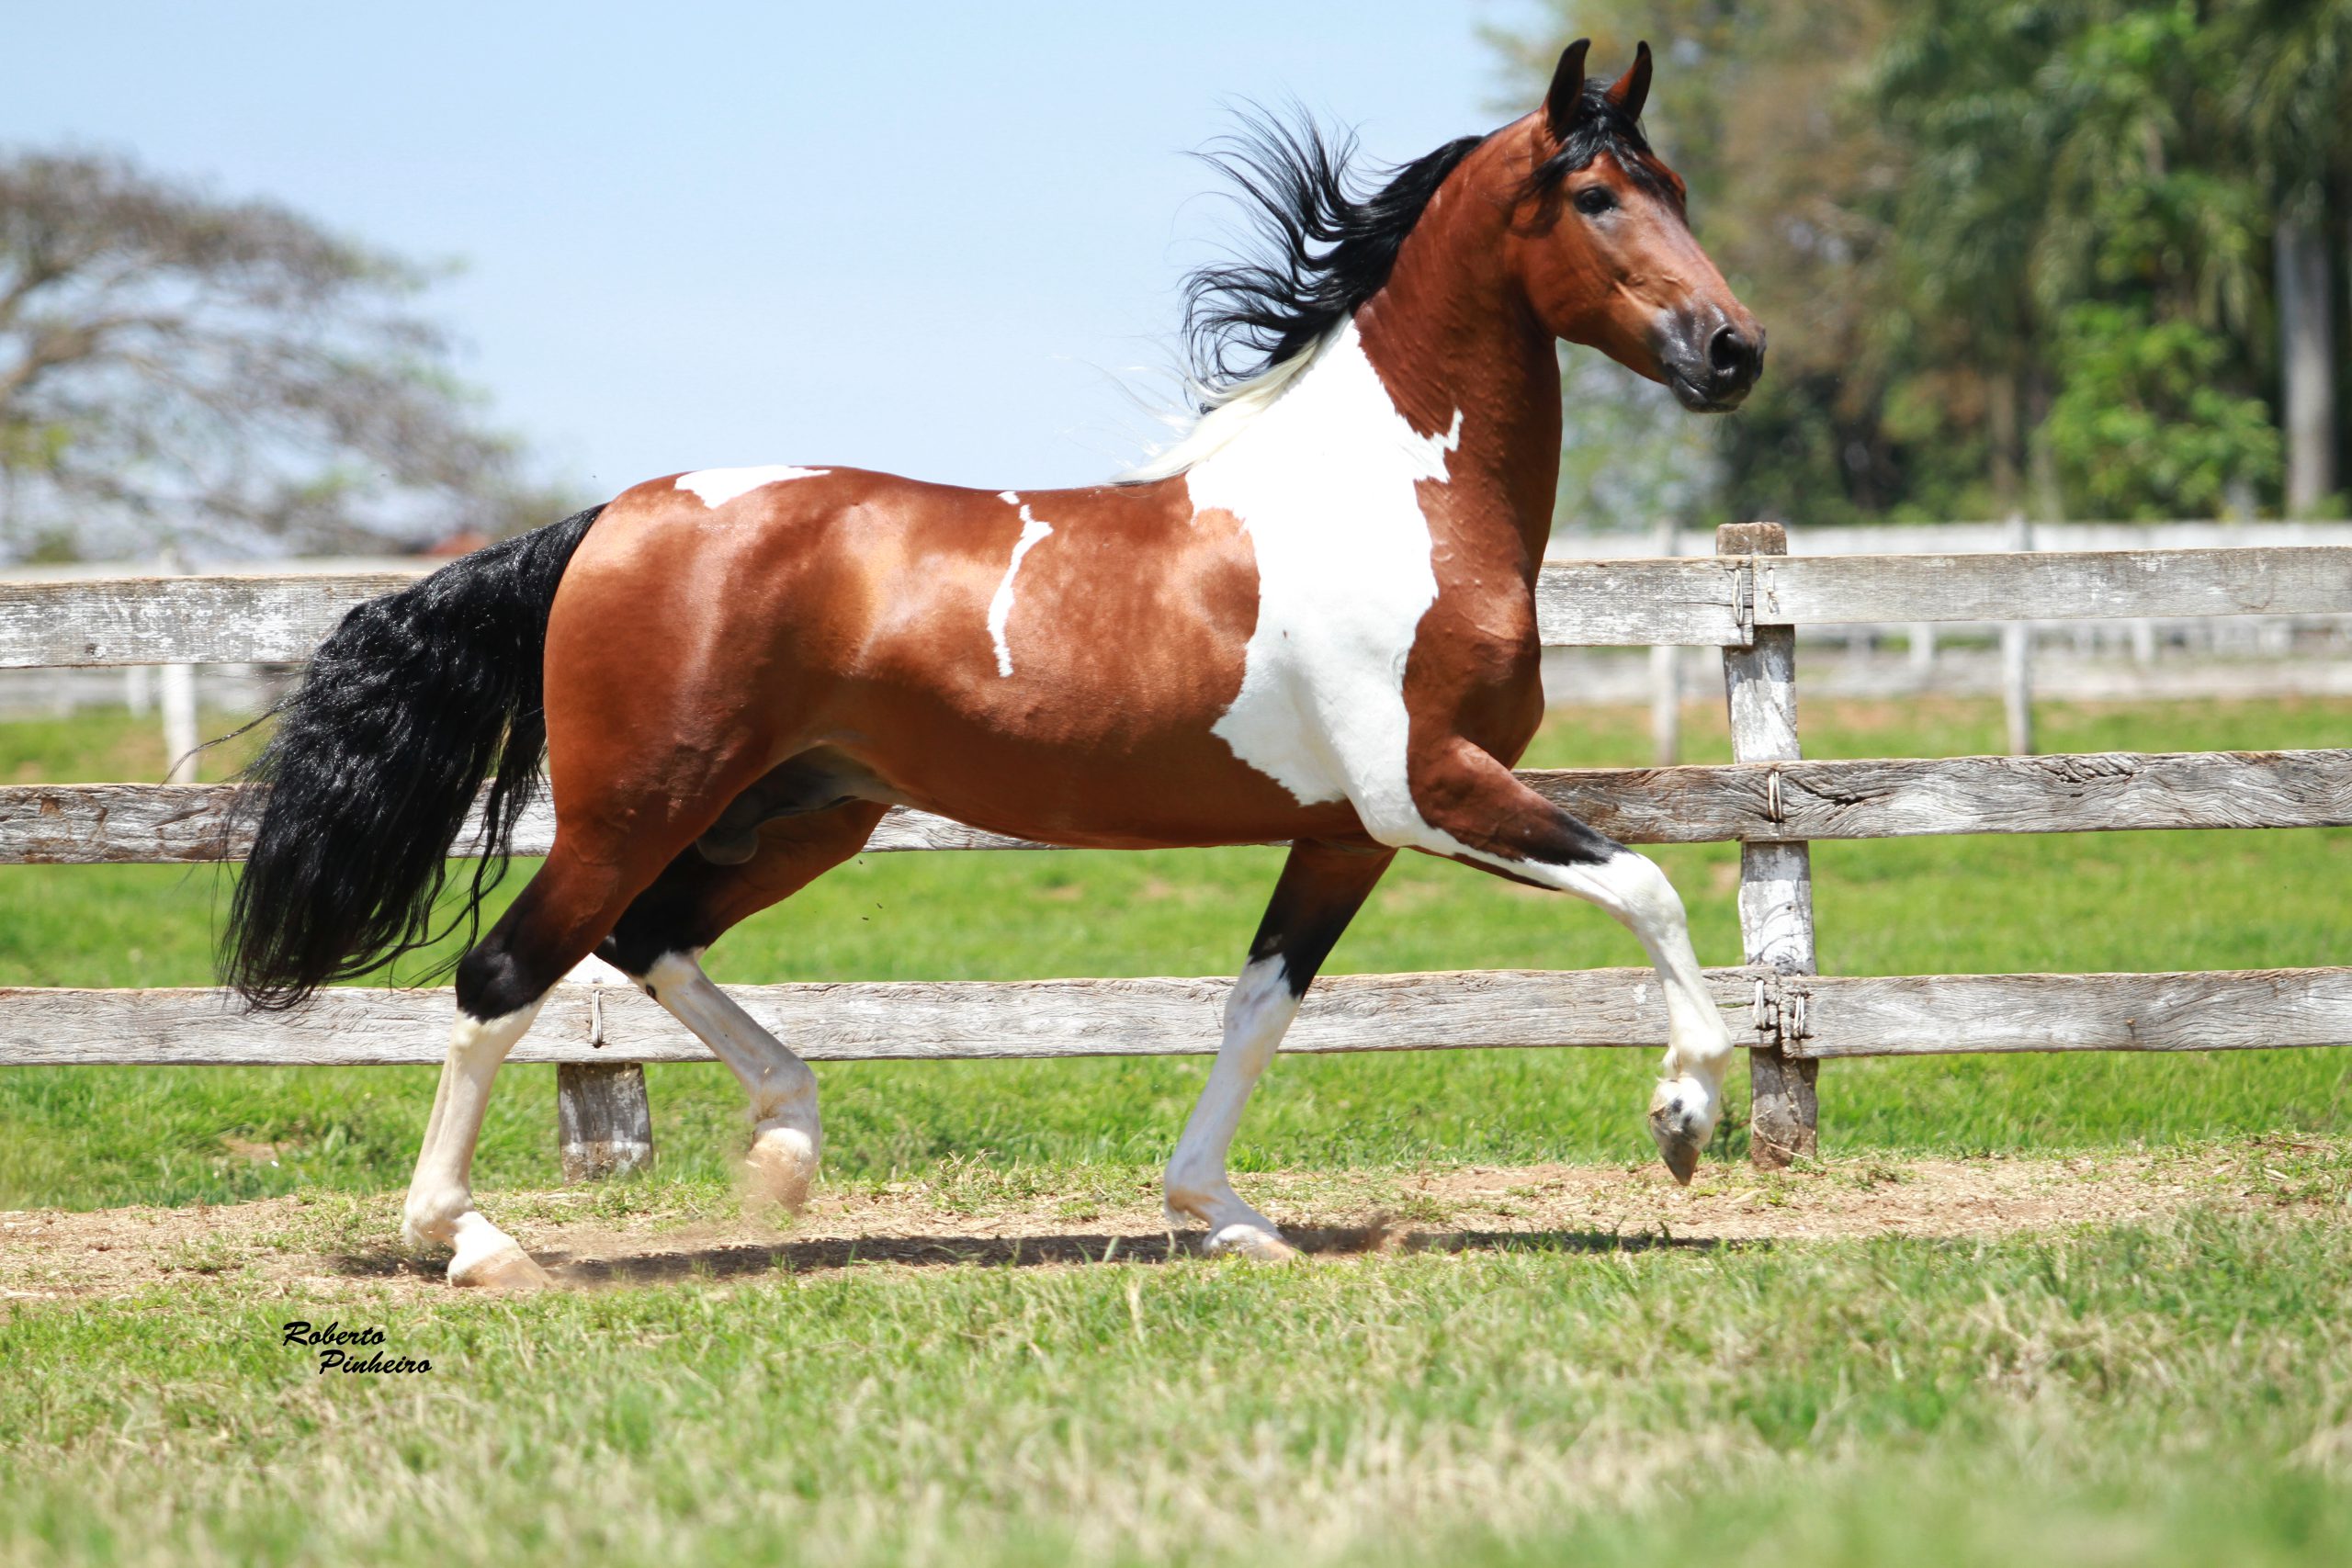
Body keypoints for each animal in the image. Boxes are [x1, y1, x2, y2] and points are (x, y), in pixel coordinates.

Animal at [220, 39, 1769, 1288]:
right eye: (1597, 196)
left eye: (1686, 187)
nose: (1732, 350)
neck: (1392, 492)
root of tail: (614, 516)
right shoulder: (1428, 786)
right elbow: (1647, 883)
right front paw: (1685, 1116)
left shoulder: (1345, 829)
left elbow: (1258, 1006)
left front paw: (1221, 1213)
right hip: (638, 804)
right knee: (504, 974)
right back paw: (476, 1242)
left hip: (794, 812)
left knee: (644, 939)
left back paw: (786, 1142)